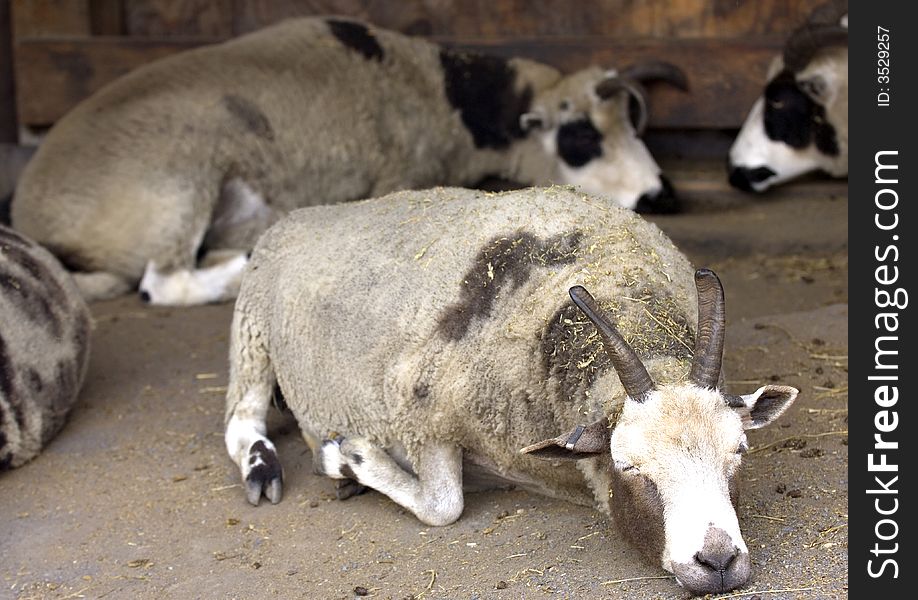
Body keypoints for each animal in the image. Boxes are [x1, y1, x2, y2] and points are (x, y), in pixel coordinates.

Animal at [9, 16, 688, 308]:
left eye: (632, 125)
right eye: (580, 136)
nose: (661, 195)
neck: (442, 93)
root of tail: (31, 214)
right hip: (176, 185)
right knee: (163, 282)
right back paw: (239, 266)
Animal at [223, 188, 796, 596]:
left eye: (739, 451)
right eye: (627, 465)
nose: (718, 562)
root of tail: (304, 214)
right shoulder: (420, 414)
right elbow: (443, 507)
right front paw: (349, 457)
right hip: (251, 330)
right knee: (241, 419)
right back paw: (266, 467)